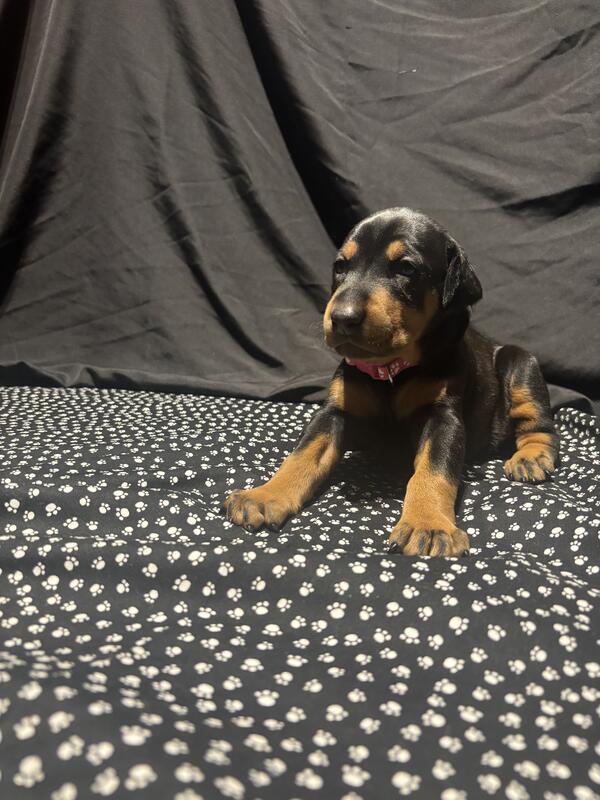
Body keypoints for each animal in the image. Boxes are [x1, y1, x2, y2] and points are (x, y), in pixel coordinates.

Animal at [224, 207, 558, 556]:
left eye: (406, 268)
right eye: (340, 267)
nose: (341, 318)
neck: (391, 370)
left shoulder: (443, 418)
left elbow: (433, 470)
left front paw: (428, 525)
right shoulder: (334, 411)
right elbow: (302, 455)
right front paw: (265, 496)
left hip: (521, 364)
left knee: (538, 424)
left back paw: (531, 458)